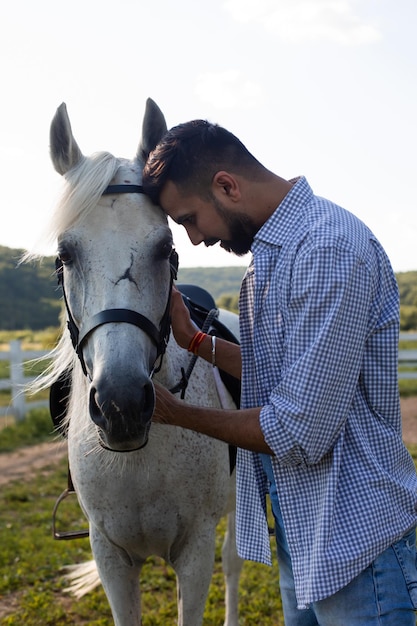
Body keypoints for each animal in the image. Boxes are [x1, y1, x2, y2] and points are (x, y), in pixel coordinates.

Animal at [27, 98, 242, 624]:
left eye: (165, 248)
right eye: (65, 254)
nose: (121, 405)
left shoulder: (195, 552)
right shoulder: (111, 558)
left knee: (233, 563)